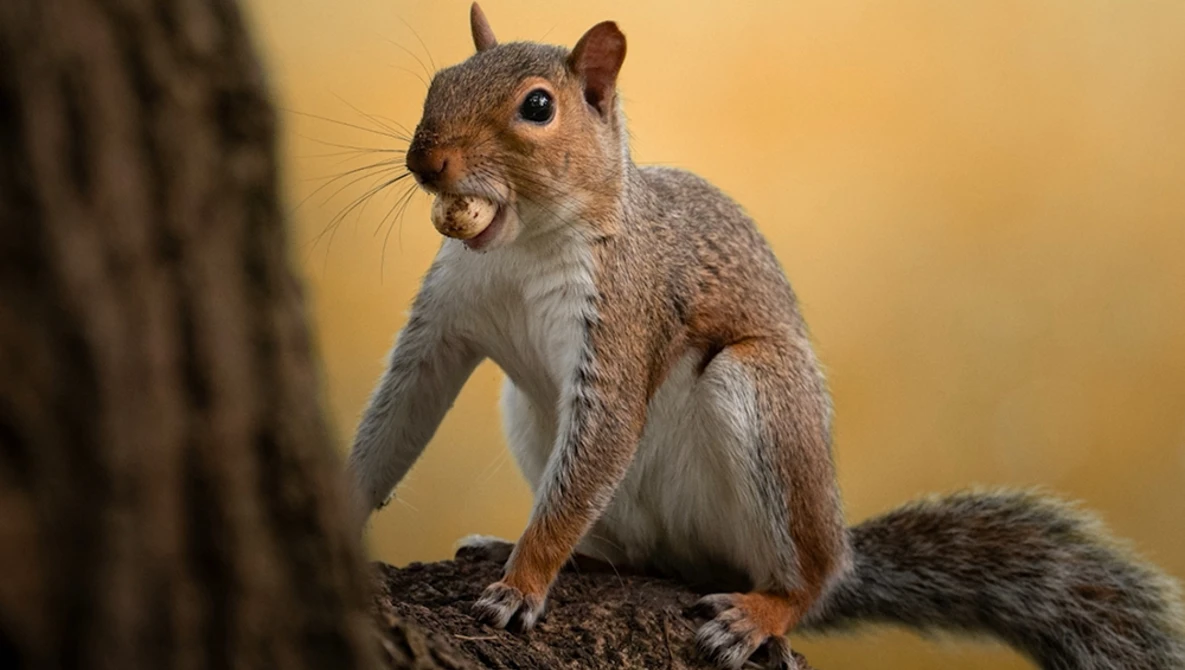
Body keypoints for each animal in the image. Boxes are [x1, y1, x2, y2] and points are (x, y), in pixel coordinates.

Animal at [346, 4, 1185, 669]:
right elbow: (399, 414)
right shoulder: (443, 322)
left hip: (761, 394)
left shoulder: (622, 319)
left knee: (802, 580)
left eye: (538, 106)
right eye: (442, 78)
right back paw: (562, 549)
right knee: (631, 544)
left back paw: (759, 611)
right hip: (531, 417)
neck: (520, 248)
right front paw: (343, 508)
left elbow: (598, 445)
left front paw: (522, 587)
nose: (425, 161)